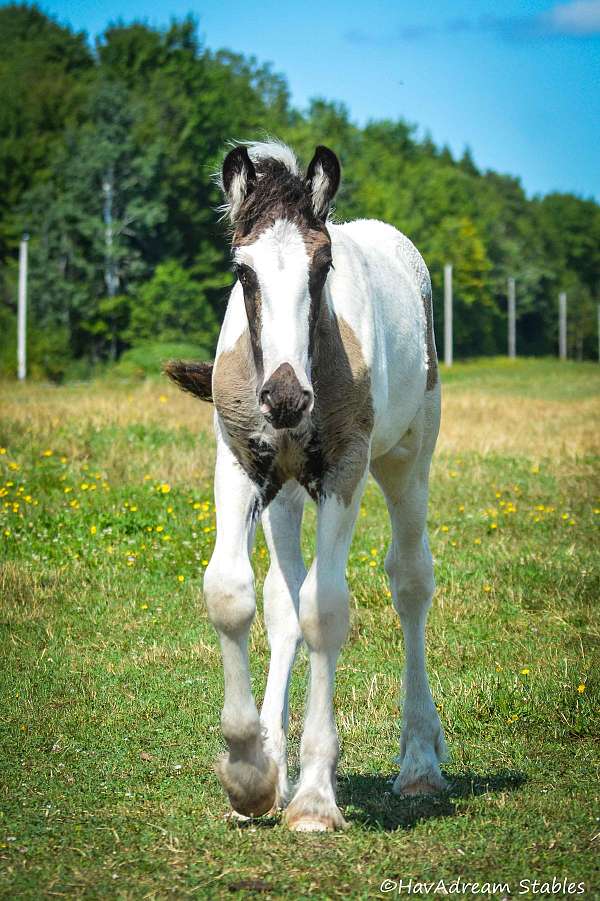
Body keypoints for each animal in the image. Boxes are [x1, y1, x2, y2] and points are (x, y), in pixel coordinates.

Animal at [166, 140, 447, 832]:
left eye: (323, 266)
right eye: (243, 272)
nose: (286, 397)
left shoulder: (343, 469)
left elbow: (326, 607)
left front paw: (317, 797)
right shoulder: (241, 464)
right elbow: (232, 594)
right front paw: (250, 775)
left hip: (407, 459)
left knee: (409, 579)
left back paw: (419, 762)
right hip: (286, 496)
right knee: (280, 598)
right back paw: (274, 768)